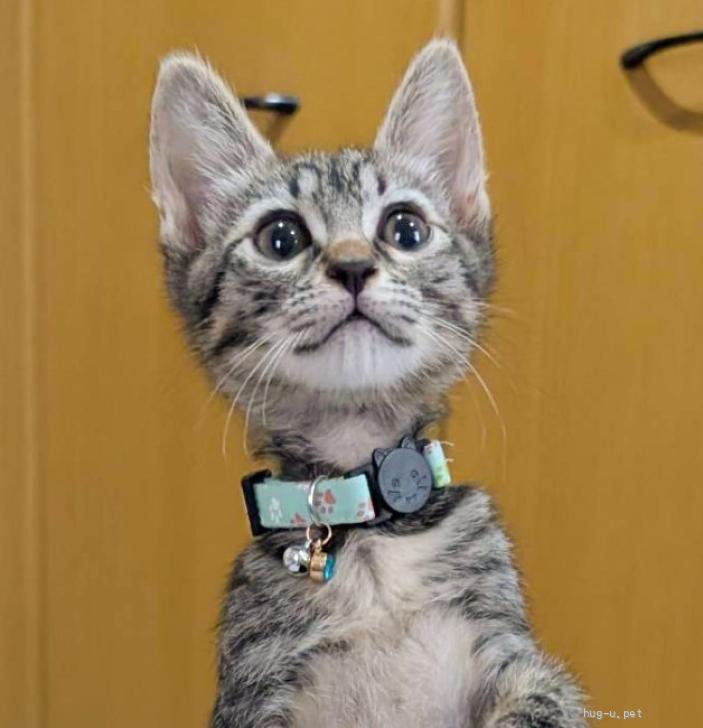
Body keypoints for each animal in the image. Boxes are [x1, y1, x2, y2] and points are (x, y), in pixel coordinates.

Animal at [149, 39, 586, 728]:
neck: (374, 541)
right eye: (280, 238)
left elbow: (537, 702)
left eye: (405, 228)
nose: (353, 265)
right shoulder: (254, 688)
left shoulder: (523, 662)